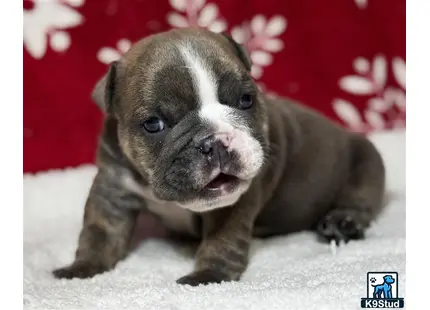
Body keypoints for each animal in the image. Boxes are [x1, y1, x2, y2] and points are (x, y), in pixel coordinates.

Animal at [52, 27, 384, 284]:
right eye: (153, 124)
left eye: (246, 99)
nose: (215, 142)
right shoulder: (112, 190)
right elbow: (99, 233)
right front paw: (81, 269)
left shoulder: (235, 203)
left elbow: (222, 241)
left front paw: (208, 277)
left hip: (367, 159)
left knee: (360, 198)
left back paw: (341, 223)